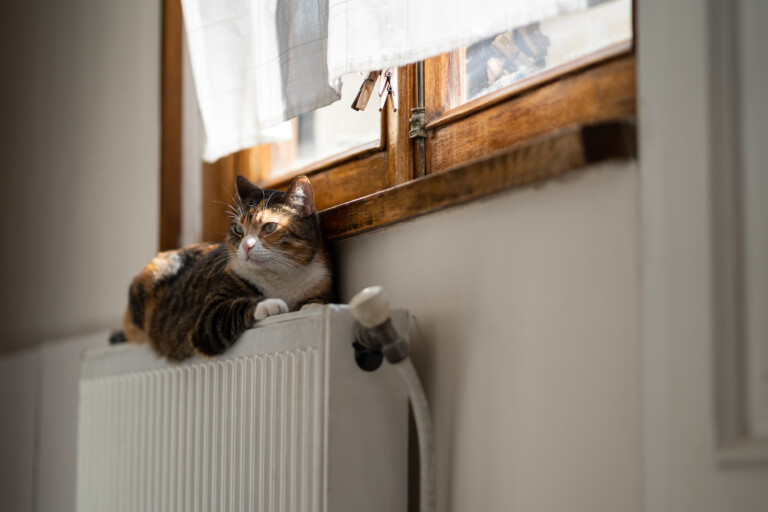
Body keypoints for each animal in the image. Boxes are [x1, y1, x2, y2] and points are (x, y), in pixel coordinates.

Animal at [121, 175, 332, 360]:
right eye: (238, 229)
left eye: (270, 227)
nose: (246, 246)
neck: (280, 277)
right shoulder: (206, 320)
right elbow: (231, 310)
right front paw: (271, 304)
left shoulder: (320, 279)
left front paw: (312, 306)